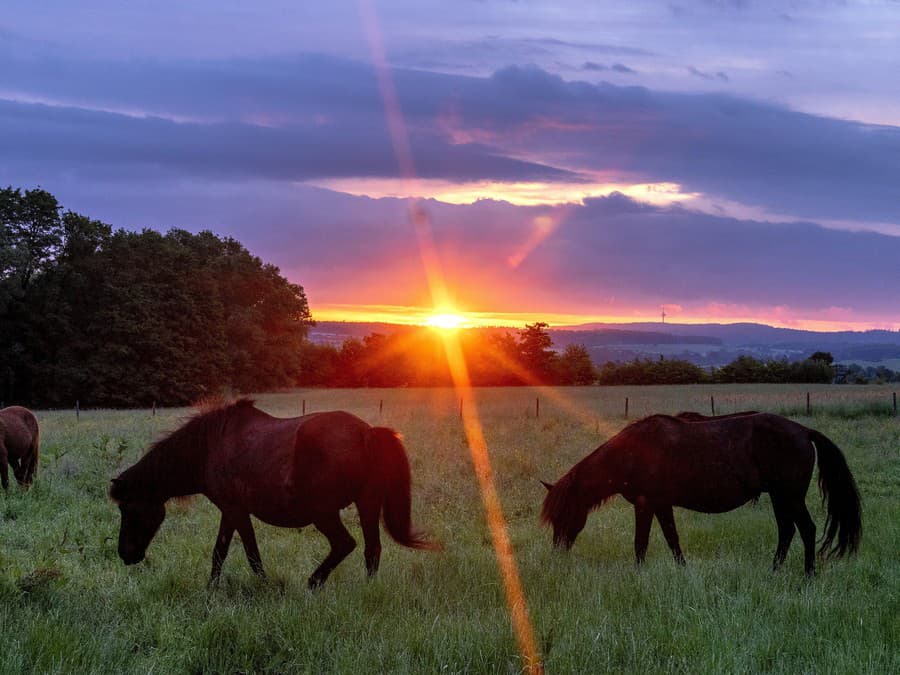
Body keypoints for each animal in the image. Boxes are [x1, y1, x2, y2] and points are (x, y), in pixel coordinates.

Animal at [109, 402, 440, 588]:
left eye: (128, 508)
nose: (126, 554)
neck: (209, 447)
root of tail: (367, 432)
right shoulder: (231, 511)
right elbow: (222, 552)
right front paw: (211, 588)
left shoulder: (235, 510)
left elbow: (247, 553)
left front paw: (263, 586)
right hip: (366, 504)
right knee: (372, 550)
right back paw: (367, 591)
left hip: (324, 513)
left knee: (345, 544)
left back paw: (313, 583)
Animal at [536, 412, 860, 576]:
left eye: (564, 514)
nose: (557, 551)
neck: (631, 453)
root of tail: (804, 432)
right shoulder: (661, 504)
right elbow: (672, 539)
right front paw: (683, 570)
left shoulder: (645, 504)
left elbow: (641, 543)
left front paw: (638, 575)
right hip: (779, 498)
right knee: (787, 531)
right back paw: (774, 571)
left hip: (789, 497)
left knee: (806, 529)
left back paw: (808, 575)